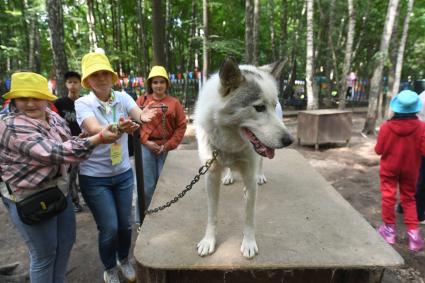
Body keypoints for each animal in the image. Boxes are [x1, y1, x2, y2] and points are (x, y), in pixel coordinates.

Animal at [194, 57, 294, 260]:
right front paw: (209, 241)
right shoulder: (211, 175)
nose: (289, 140)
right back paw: (228, 176)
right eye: (259, 108)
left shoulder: (249, 177)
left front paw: (248, 244)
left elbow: (249, 216)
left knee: (262, 162)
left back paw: (260, 176)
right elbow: (212, 215)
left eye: (272, 105)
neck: (229, 142)